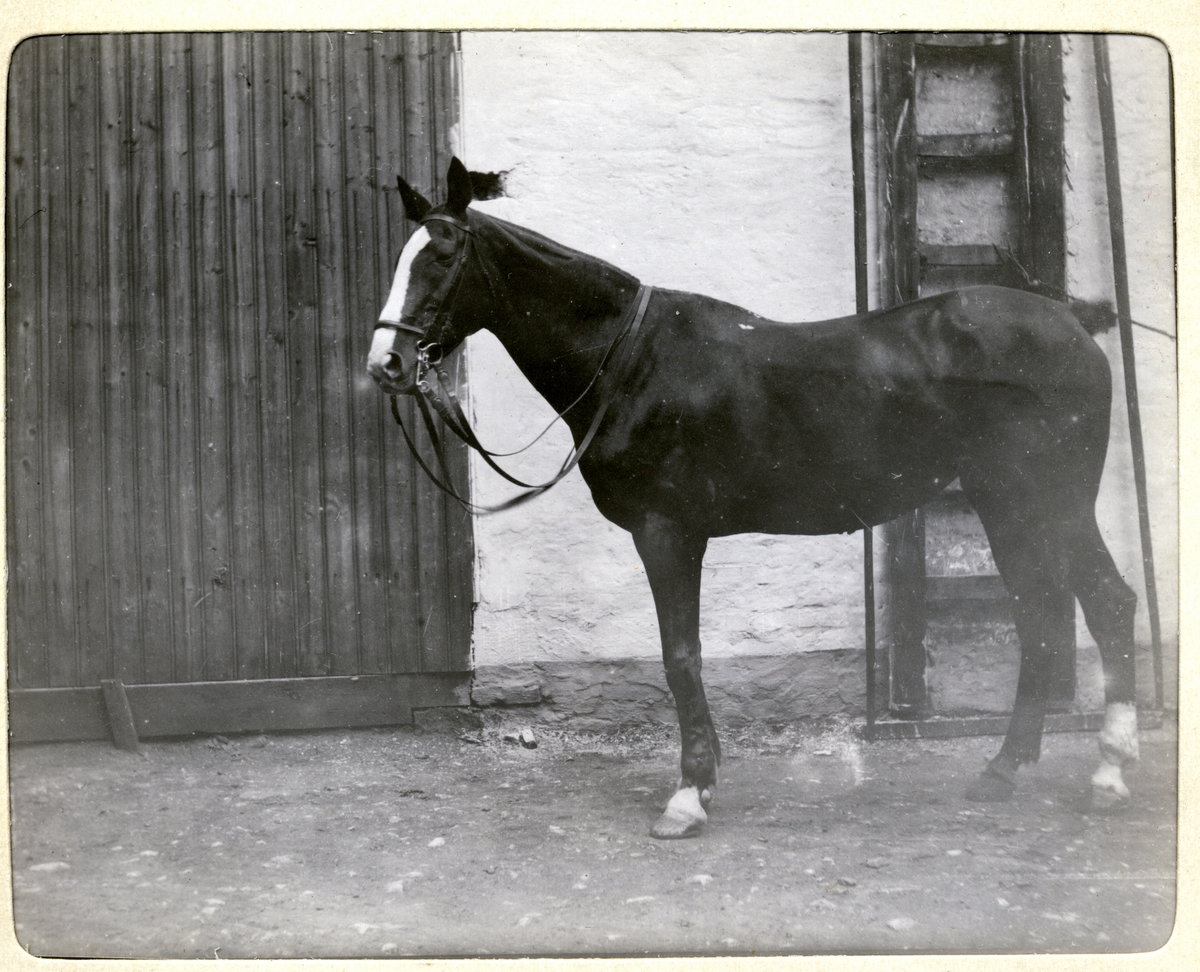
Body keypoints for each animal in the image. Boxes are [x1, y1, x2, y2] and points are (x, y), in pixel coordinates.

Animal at [367, 157, 1142, 835]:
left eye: (441, 258)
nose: (387, 365)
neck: (634, 360)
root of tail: (1074, 327)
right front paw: (703, 779)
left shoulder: (667, 531)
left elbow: (680, 656)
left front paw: (688, 796)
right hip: (1007, 505)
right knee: (1043, 616)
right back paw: (1006, 768)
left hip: (1048, 502)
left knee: (1104, 604)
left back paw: (1107, 775)